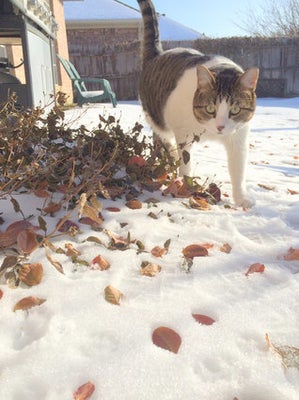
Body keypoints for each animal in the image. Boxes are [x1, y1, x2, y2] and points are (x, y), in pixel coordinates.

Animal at [137, 0, 258, 206]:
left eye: (235, 109)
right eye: (210, 108)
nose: (220, 127)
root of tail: (157, 54)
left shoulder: (238, 138)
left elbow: (238, 170)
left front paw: (241, 198)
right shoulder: (183, 134)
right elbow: (185, 163)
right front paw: (186, 187)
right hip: (157, 119)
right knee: (164, 141)